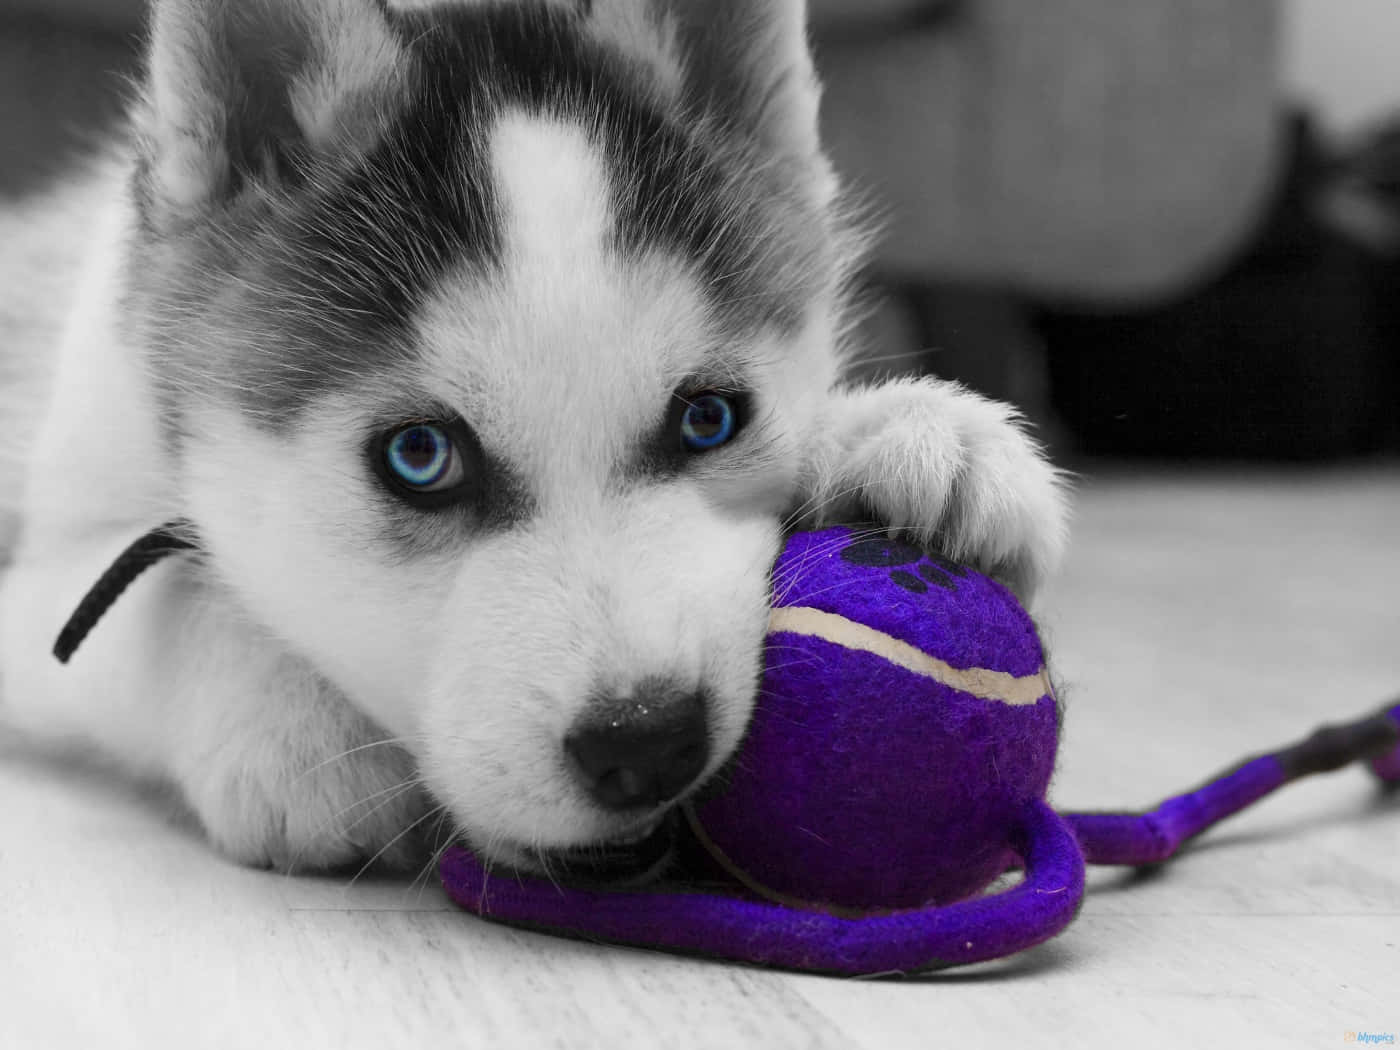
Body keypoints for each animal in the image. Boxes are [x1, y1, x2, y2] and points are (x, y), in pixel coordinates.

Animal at [0, 0, 1064, 879]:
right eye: (420, 456)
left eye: (710, 417)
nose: (647, 745)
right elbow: (163, 592)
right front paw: (289, 721)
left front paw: (898, 435)